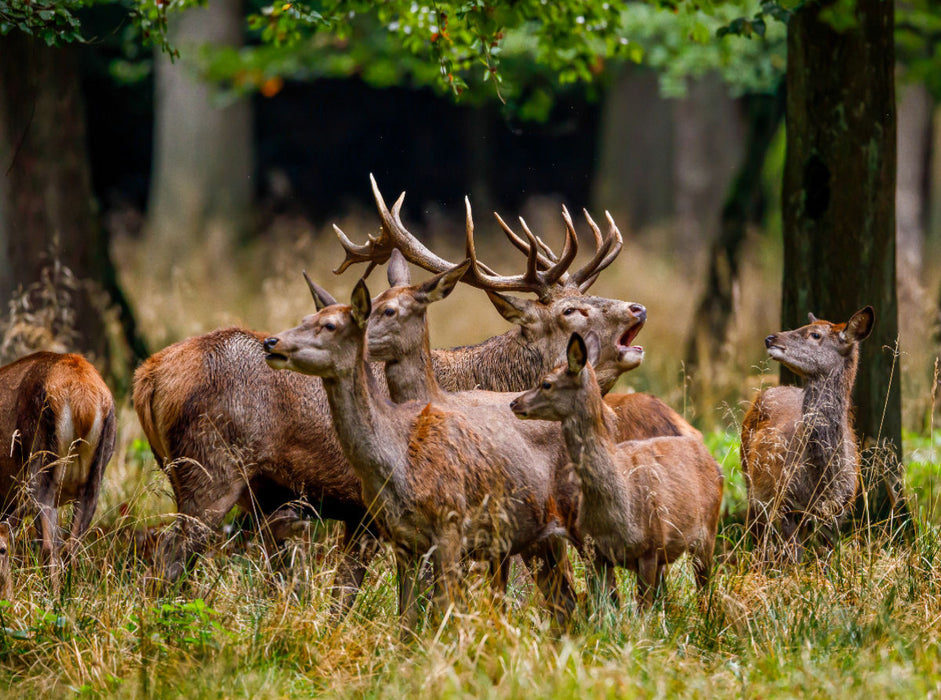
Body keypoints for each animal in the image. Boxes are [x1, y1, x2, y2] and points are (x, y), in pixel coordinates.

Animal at [260, 282, 576, 632]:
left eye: (330, 325)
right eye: (306, 318)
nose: (271, 341)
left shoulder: (451, 526)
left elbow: (445, 609)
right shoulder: (401, 538)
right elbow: (407, 616)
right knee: (564, 598)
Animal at [510, 334, 724, 608]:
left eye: (546, 383)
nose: (514, 402)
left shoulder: (649, 549)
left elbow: (642, 609)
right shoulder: (597, 553)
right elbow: (606, 606)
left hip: (707, 532)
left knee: (704, 591)